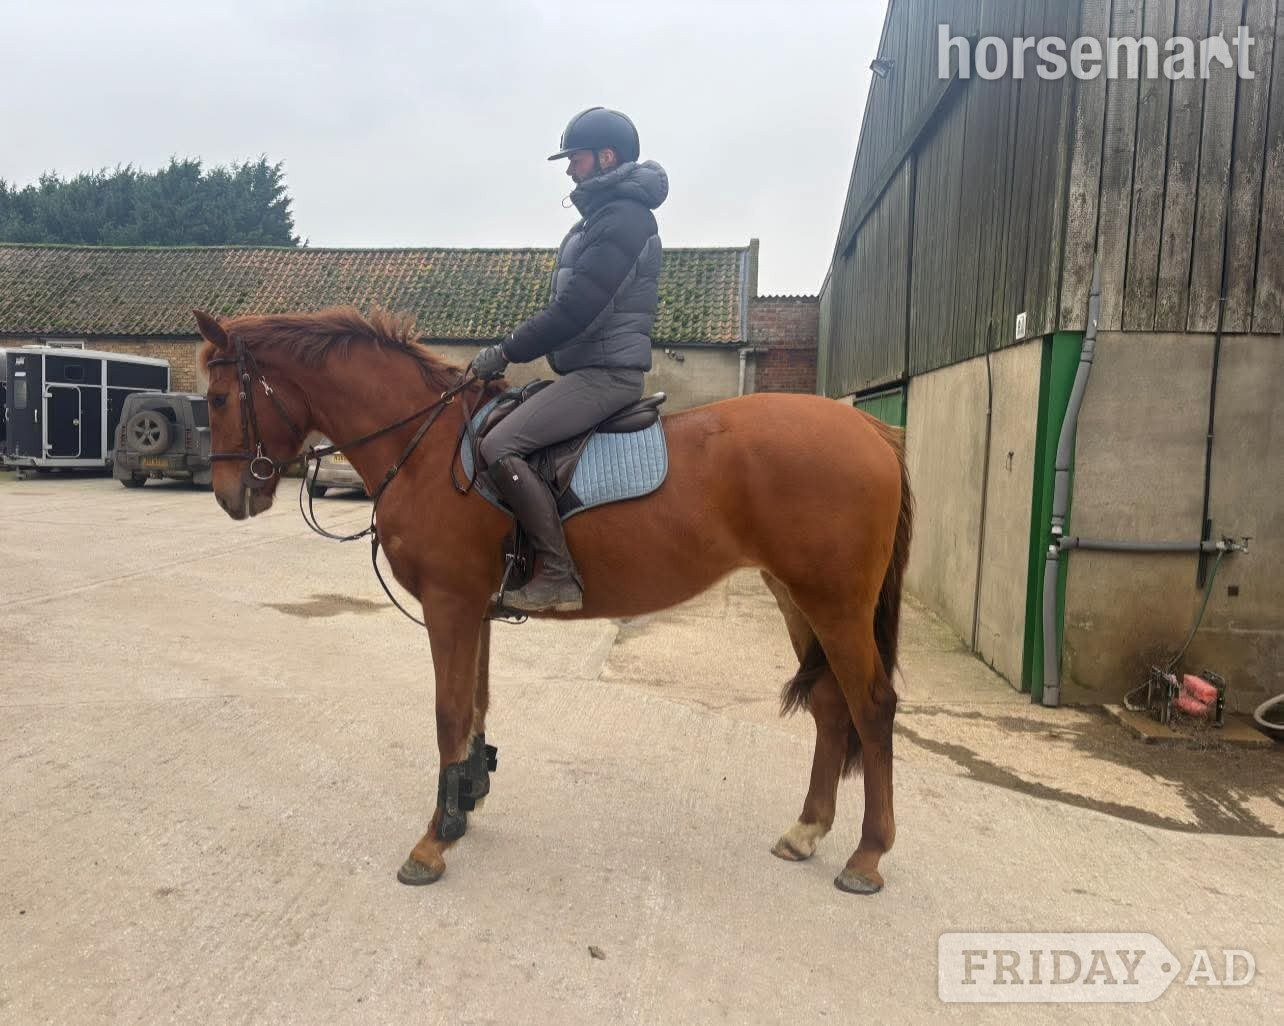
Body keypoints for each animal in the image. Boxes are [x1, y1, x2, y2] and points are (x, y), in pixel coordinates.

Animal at [193, 306, 912, 895]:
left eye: (221, 397)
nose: (230, 497)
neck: (428, 447)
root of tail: (871, 429)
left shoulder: (450, 606)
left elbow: (449, 713)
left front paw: (433, 839)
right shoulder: (475, 609)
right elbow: (476, 706)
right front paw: (466, 801)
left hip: (836, 604)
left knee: (872, 707)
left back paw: (868, 855)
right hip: (797, 597)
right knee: (831, 706)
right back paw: (807, 829)